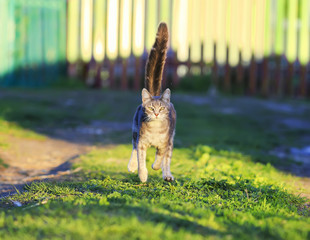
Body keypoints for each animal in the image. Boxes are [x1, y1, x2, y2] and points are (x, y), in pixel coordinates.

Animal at [128, 23, 177, 184]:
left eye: (161, 108)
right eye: (150, 108)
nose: (156, 114)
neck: (155, 129)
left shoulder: (164, 143)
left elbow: (161, 157)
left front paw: (155, 166)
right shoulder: (142, 142)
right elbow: (141, 160)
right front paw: (142, 175)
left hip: (171, 140)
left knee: (167, 160)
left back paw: (167, 175)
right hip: (135, 130)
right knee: (133, 148)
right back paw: (131, 166)